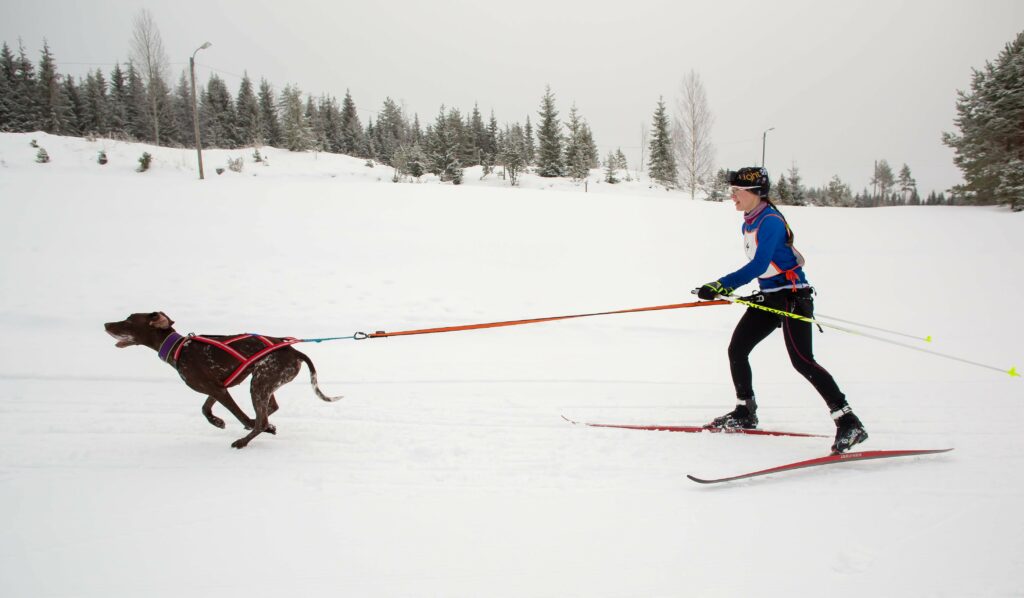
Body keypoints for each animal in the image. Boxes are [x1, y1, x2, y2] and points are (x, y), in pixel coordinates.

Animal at [106, 313, 342, 448]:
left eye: (128, 320)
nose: (106, 324)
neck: (180, 349)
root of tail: (294, 351)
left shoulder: (219, 390)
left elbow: (241, 415)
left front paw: (258, 427)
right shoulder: (218, 387)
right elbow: (205, 409)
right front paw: (217, 421)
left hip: (259, 384)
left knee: (261, 419)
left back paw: (245, 440)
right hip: (264, 382)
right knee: (269, 409)